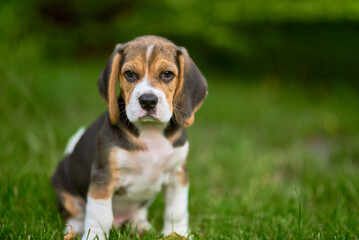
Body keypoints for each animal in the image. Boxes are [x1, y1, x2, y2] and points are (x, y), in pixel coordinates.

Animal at [51, 34, 208, 239]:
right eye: (130, 74)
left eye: (167, 74)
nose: (148, 101)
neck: (150, 132)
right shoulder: (104, 176)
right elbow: (100, 217)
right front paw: (94, 236)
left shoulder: (178, 175)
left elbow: (177, 210)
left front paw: (178, 233)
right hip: (63, 183)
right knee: (75, 214)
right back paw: (74, 229)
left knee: (138, 213)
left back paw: (139, 225)